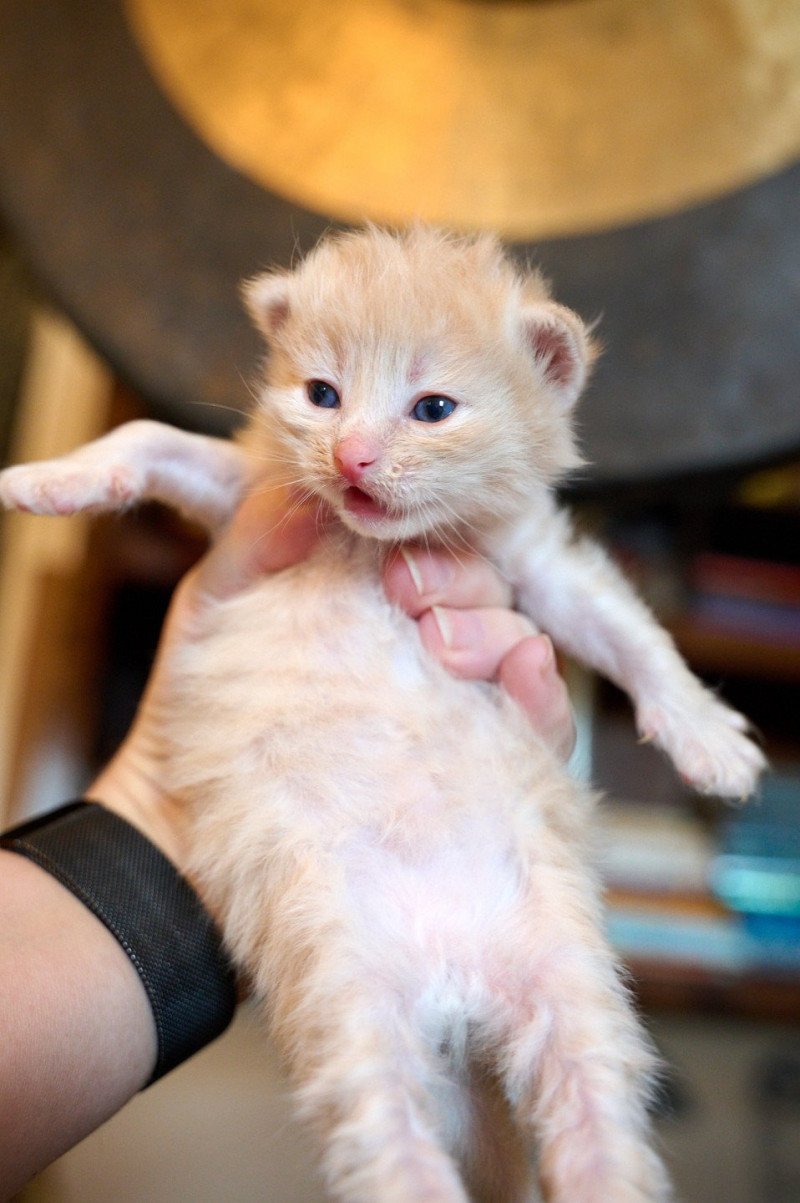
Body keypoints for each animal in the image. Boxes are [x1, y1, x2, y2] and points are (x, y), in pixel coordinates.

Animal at [0, 227, 760, 1203]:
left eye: (432, 407)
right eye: (321, 394)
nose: (353, 457)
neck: (369, 545)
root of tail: (453, 980)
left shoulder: (533, 560)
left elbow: (631, 632)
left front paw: (709, 739)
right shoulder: (247, 496)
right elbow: (147, 434)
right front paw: (47, 481)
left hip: (572, 987)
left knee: (596, 1126)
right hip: (344, 993)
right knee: (389, 1141)